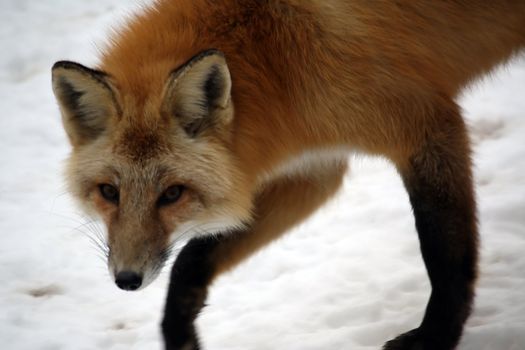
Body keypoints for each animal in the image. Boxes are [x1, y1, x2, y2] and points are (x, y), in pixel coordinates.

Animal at [52, 0, 524, 350]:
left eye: (172, 194)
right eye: (108, 191)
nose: (127, 280)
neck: (278, 60)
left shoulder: (426, 125)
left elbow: (444, 253)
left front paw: (435, 338)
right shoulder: (313, 169)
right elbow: (193, 261)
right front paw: (179, 334)